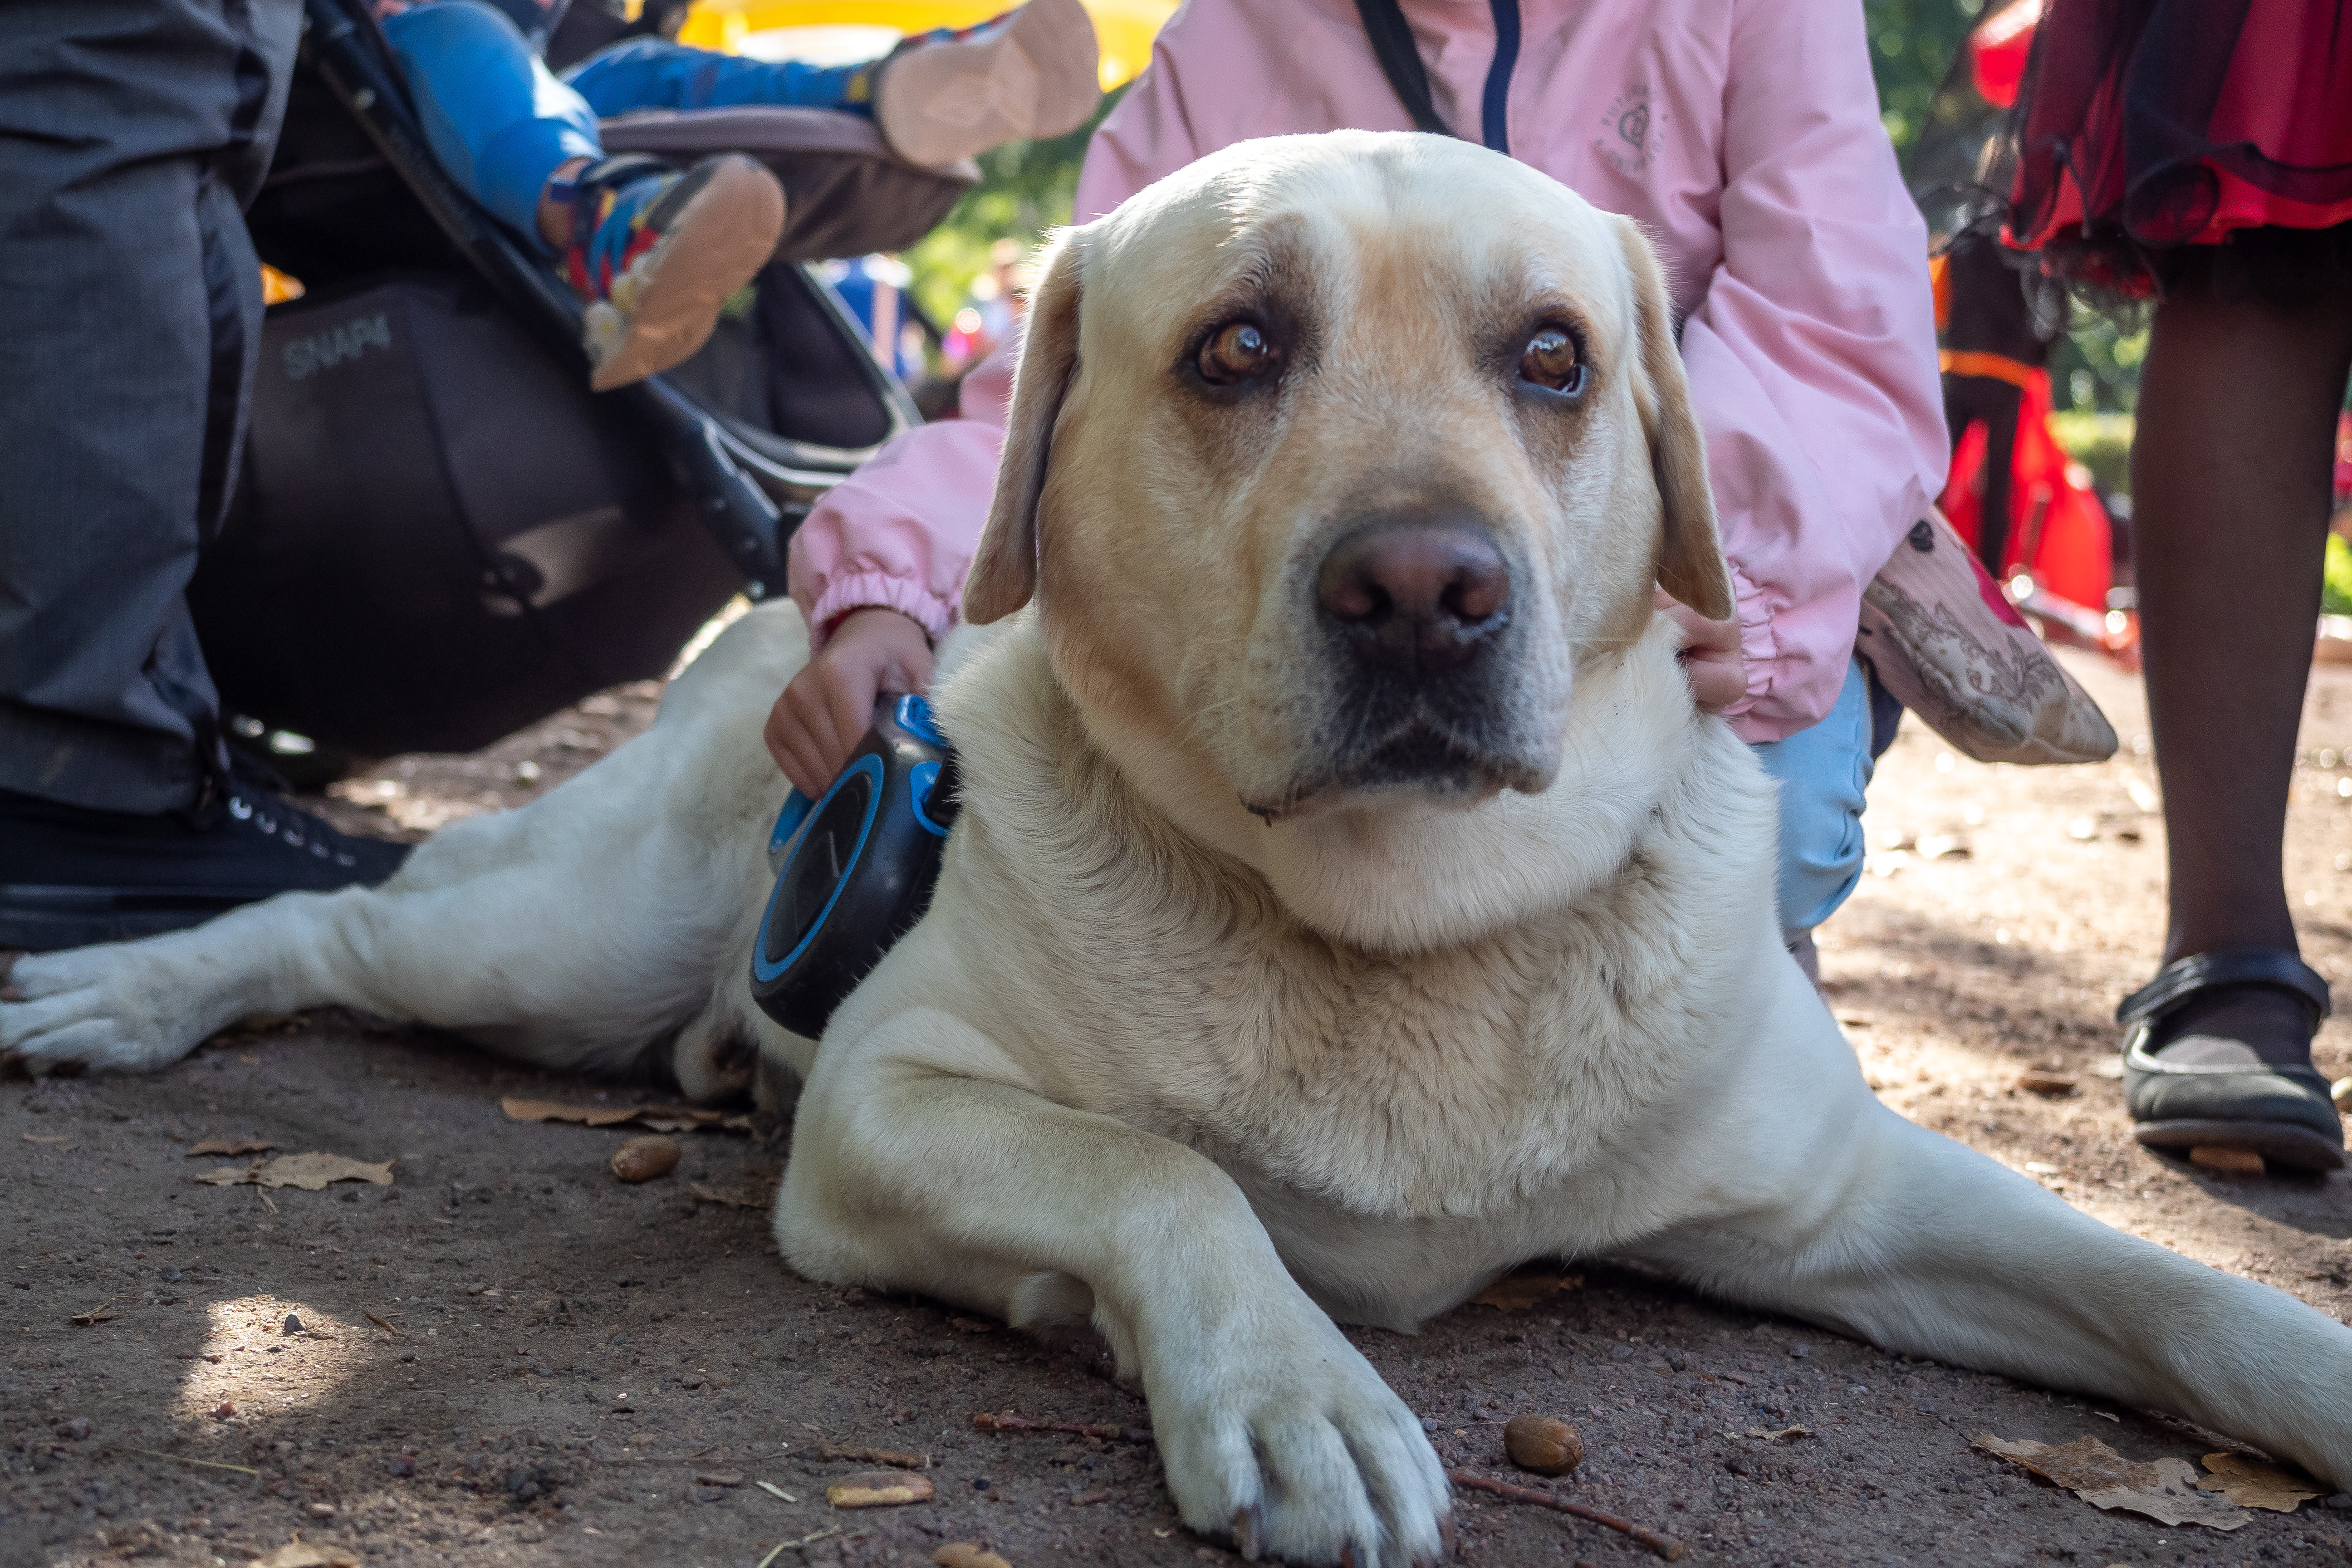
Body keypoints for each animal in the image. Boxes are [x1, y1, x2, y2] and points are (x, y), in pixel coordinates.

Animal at [5, 135, 2352, 1568]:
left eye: (1554, 357)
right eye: (1237, 348)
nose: (1424, 592)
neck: (1403, 944)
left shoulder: (1856, 1196)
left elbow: (2166, 1286)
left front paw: (2311, 1373)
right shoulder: (886, 1102)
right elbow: (1164, 1170)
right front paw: (1293, 1383)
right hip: (558, 943)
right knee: (337, 921)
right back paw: (119, 983)